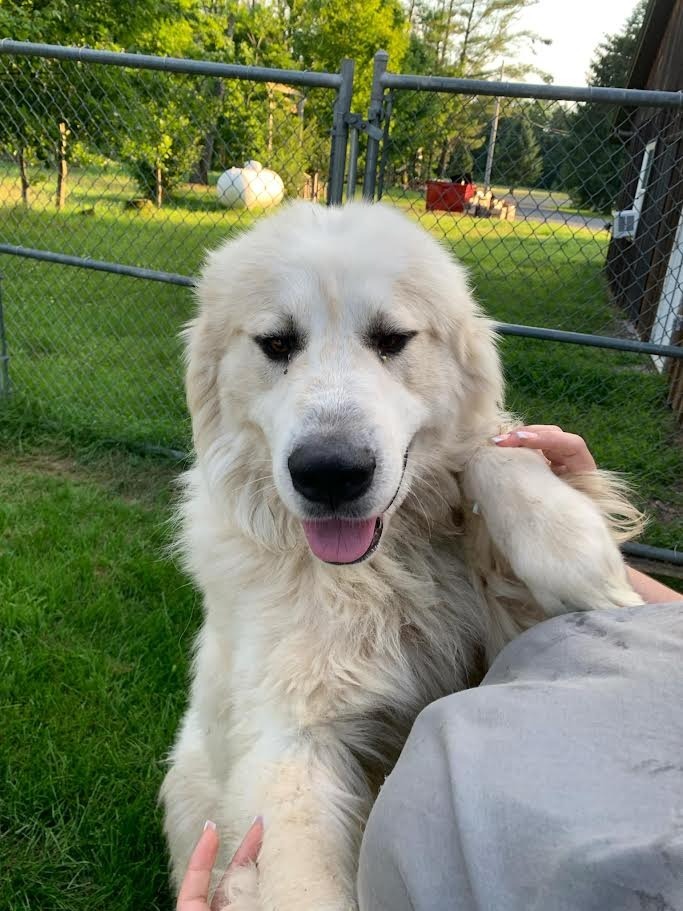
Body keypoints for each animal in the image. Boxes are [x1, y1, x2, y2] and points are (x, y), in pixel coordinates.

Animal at [163, 203, 644, 908]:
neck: (379, 571)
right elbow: (300, 885)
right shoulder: (291, 743)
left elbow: (490, 447)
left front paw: (573, 546)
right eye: (277, 344)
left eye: (393, 339)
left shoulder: (514, 626)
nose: (330, 474)